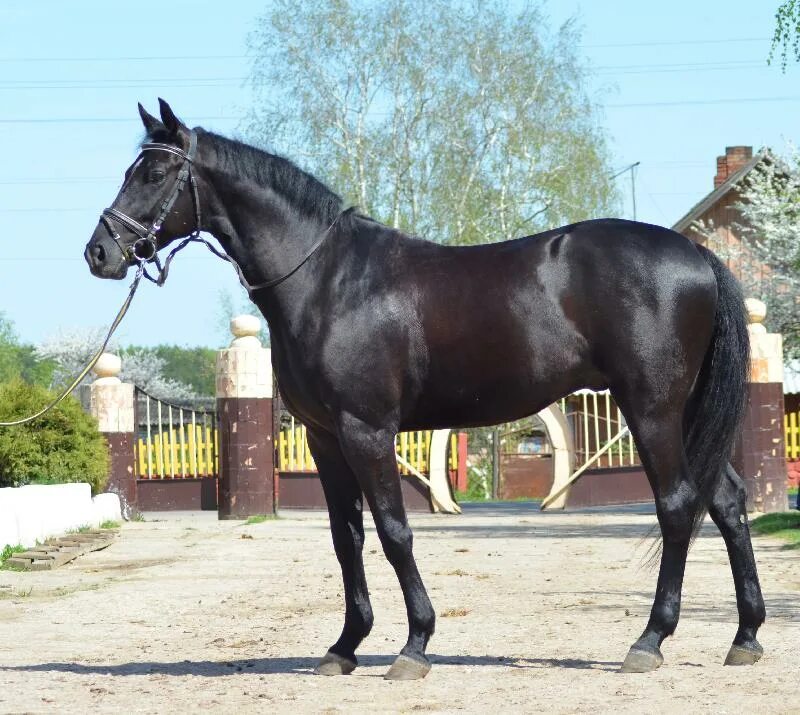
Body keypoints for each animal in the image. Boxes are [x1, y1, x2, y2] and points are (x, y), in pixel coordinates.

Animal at [84, 99, 764, 676]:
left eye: (152, 173)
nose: (99, 253)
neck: (328, 280)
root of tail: (699, 258)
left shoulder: (366, 431)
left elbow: (393, 531)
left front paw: (414, 644)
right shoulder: (325, 437)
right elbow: (347, 537)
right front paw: (345, 646)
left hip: (651, 409)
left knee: (677, 504)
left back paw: (649, 640)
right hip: (685, 413)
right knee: (726, 501)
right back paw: (745, 636)